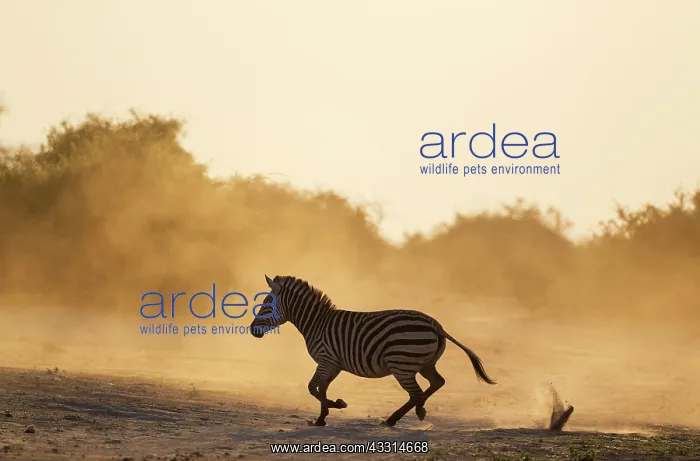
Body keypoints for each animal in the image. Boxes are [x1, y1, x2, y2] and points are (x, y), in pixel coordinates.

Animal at [249, 274, 497, 427]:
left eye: (266, 304)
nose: (252, 330)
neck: (316, 322)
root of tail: (436, 325)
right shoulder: (334, 363)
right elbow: (321, 388)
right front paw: (322, 418)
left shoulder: (326, 359)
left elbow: (313, 388)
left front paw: (337, 405)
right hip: (425, 363)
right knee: (437, 382)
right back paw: (414, 412)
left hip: (402, 365)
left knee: (417, 393)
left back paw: (397, 418)